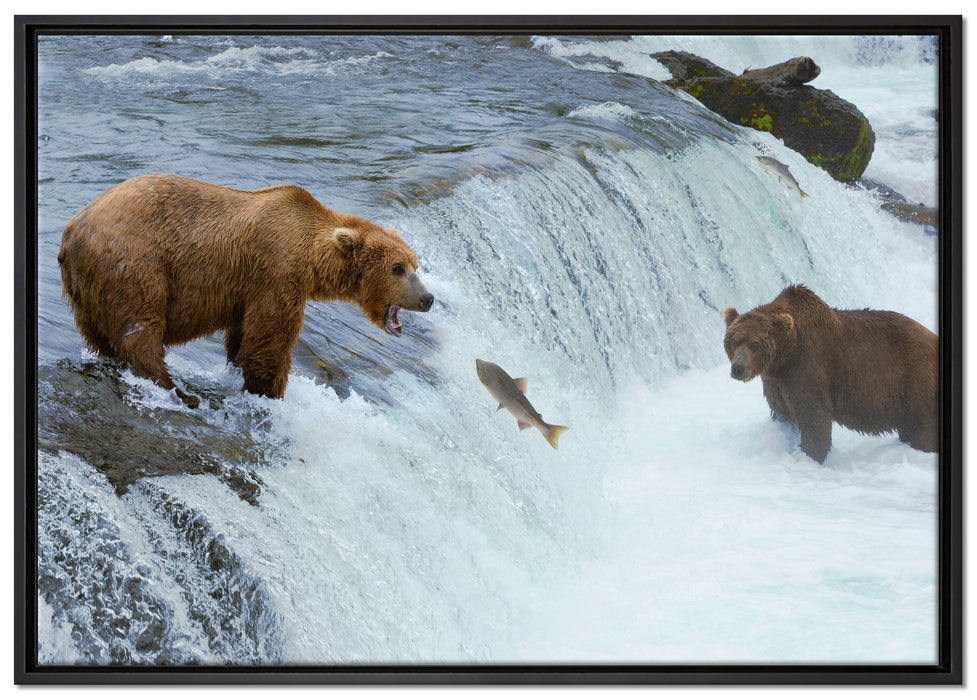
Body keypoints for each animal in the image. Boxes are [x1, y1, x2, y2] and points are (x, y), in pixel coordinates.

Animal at [58, 174, 434, 408]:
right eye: (397, 269)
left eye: (415, 263)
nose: (428, 298)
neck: (311, 256)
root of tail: (73, 229)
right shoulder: (276, 274)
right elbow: (270, 341)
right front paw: (270, 392)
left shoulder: (247, 290)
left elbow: (243, 338)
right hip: (135, 262)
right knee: (141, 329)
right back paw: (178, 391)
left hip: (85, 289)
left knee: (99, 335)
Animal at [722, 284, 938, 463]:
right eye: (734, 341)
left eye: (755, 344)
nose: (738, 368)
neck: (786, 355)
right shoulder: (776, 381)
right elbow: (782, 411)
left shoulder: (809, 366)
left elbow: (814, 417)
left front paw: (811, 456)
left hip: (915, 382)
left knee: (924, 429)